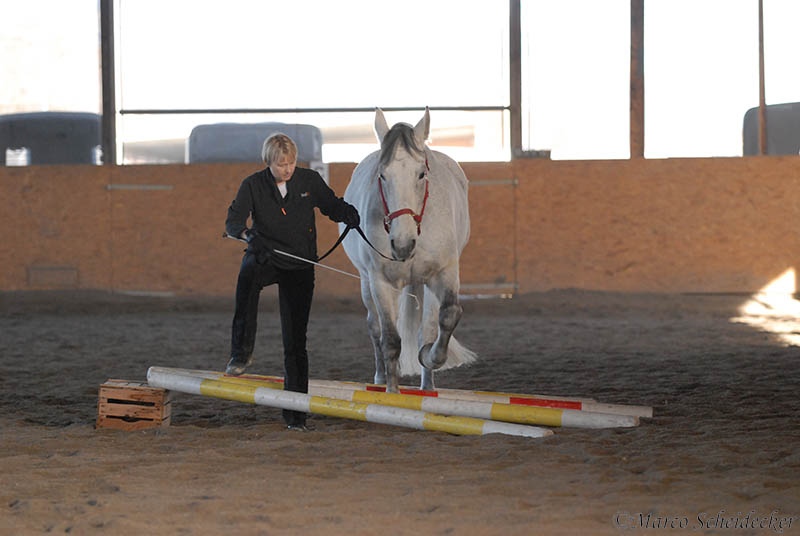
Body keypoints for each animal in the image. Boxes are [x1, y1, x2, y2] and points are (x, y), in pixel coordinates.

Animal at [341, 108, 476, 393]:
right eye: (382, 175)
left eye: (421, 174)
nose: (402, 244)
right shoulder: (381, 282)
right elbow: (391, 340)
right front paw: (392, 393)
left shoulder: (443, 274)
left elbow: (447, 317)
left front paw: (428, 357)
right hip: (366, 281)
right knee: (375, 327)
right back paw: (381, 379)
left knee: (427, 328)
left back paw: (428, 387)